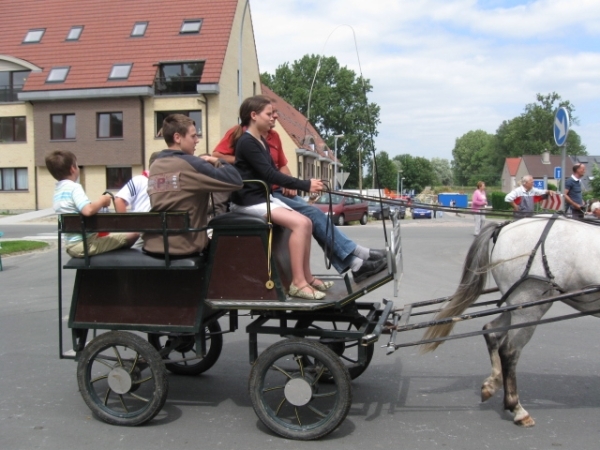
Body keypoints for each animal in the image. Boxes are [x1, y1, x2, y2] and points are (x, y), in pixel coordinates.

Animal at [422, 216, 600, 428]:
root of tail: (505, 226)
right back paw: (517, 408)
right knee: (509, 351)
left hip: (515, 305)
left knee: (491, 330)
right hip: (529, 305)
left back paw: (493, 384)